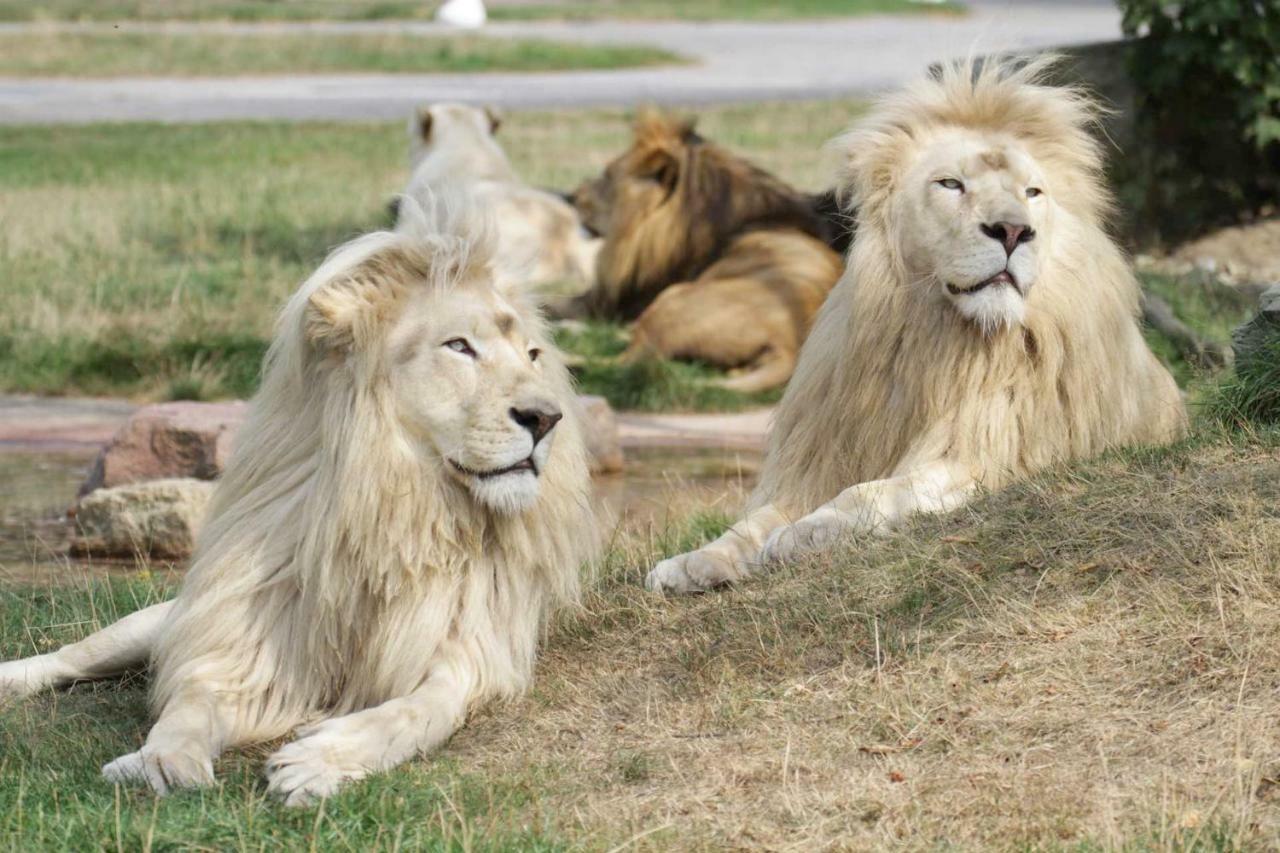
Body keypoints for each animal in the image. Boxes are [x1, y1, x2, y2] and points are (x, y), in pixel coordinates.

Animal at [0, 192, 599, 804]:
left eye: (532, 355)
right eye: (459, 346)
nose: (546, 418)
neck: (399, 504)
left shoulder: (469, 653)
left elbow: (412, 712)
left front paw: (319, 759)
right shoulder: (243, 642)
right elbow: (189, 706)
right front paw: (159, 761)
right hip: (163, 620)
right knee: (74, 656)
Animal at [650, 58, 1187, 591]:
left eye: (1033, 193)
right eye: (951, 184)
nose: (1014, 231)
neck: (933, 339)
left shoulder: (989, 457)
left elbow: (869, 493)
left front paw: (806, 532)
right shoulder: (823, 458)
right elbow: (751, 523)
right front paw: (690, 562)